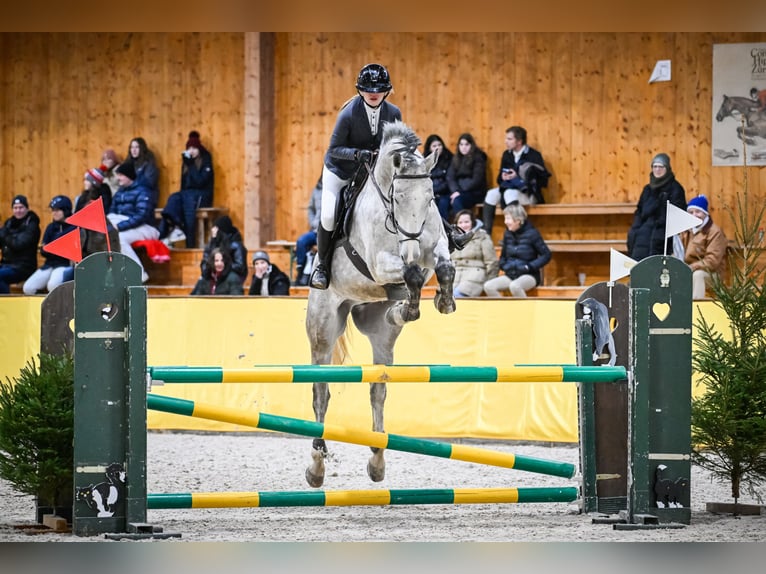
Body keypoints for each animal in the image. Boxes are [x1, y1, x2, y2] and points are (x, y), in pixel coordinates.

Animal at [304, 120, 456, 487]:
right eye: (397, 197)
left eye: (430, 197)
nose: (411, 244)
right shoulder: (380, 262)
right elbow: (411, 272)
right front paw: (411, 303)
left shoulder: (434, 248)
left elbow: (443, 267)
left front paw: (440, 302)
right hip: (322, 331)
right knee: (320, 391)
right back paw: (316, 466)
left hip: (380, 337)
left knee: (378, 388)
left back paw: (377, 460)